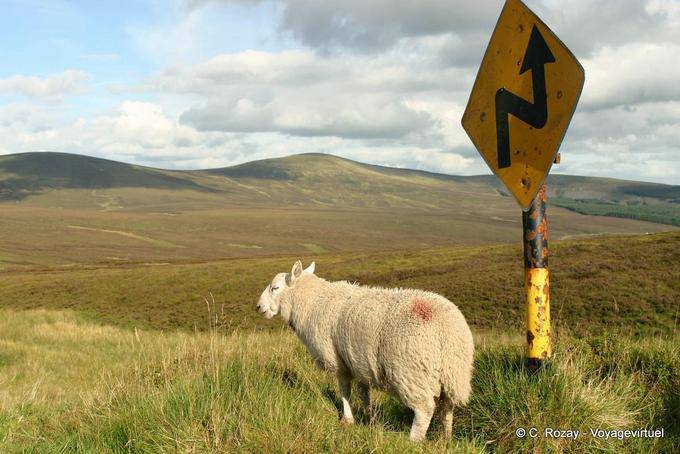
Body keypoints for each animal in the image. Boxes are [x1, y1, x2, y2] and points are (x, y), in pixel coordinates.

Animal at [256, 260, 474, 442]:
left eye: (275, 288)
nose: (258, 307)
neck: (312, 302)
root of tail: (449, 332)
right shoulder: (359, 361)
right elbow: (364, 393)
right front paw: (371, 420)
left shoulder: (337, 359)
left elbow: (344, 389)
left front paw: (348, 419)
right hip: (452, 374)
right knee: (447, 406)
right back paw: (445, 438)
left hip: (411, 371)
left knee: (424, 409)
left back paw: (414, 441)